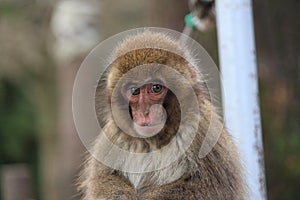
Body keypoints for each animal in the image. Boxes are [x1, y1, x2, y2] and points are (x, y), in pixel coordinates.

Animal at [78, 30, 246, 199]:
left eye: (156, 88)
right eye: (134, 90)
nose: (144, 112)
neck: (153, 141)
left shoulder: (202, 129)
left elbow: (209, 188)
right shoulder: (114, 134)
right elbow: (103, 179)